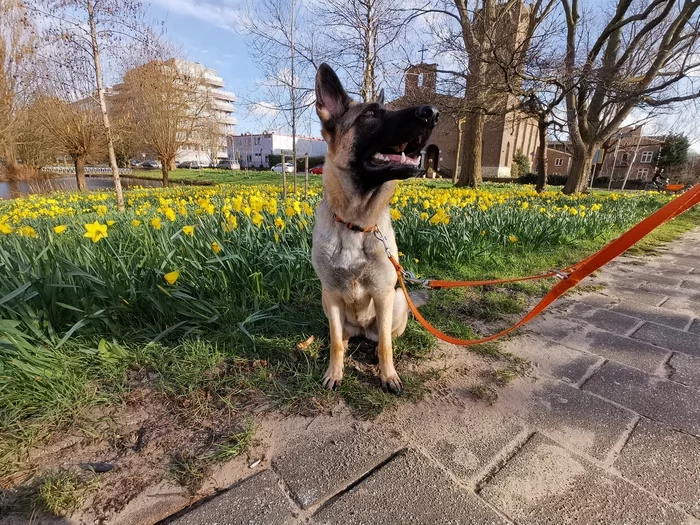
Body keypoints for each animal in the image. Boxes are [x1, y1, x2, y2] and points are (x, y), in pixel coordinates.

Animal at [312, 63, 438, 392]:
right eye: (370, 114)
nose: (433, 112)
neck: (356, 224)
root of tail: (360, 331)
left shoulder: (383, 294)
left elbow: (384, 346)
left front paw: (388, 375)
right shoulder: (330, 295)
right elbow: (335, 343)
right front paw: (335, 372)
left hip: (397, 301)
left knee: (384, 336)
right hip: (329, 307)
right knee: (343, 337)